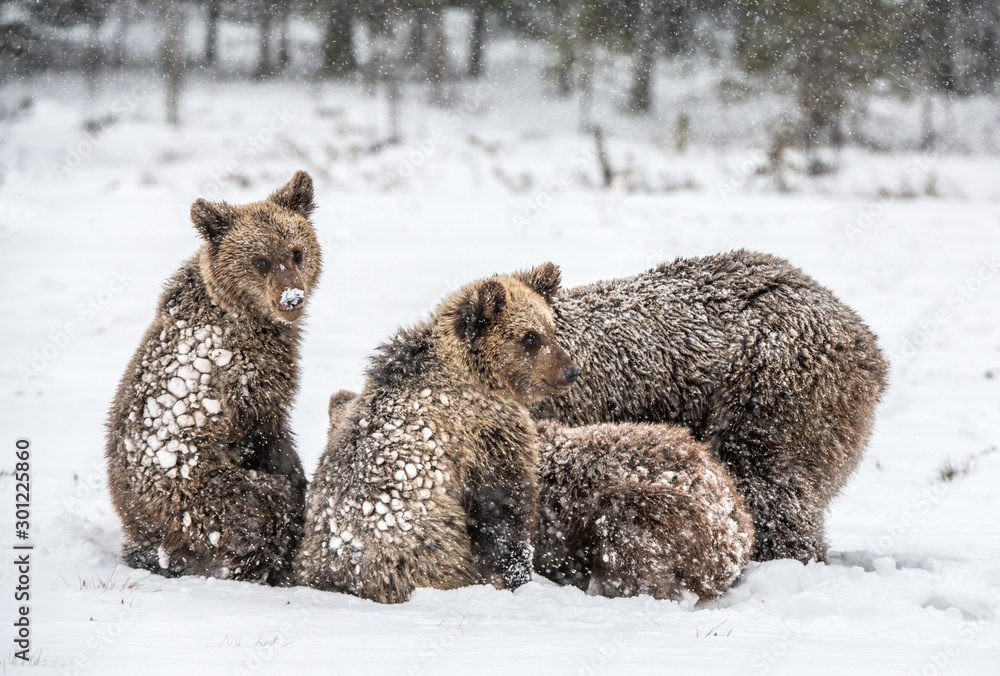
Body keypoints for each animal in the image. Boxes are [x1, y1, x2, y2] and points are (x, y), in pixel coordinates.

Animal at [105, 170, 322, 586]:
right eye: (260, 260)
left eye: (296, 252)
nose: (291, 298)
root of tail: (134, 521)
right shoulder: (245, 381)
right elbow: (270, 436)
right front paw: (297, 482)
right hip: (192, 493)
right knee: (255, 509)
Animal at [295, 264, 580, 603]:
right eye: (530, 337)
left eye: (550, 328)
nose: (571, 371)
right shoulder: (485, 435)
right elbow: (502, 510)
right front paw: (516, 576)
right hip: (425, 547)